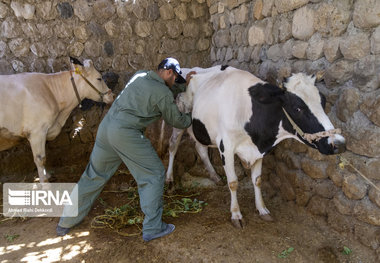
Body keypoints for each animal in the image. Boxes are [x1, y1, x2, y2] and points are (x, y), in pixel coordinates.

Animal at [165, 65, 346, 228]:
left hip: (200, 129)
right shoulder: (226, 146)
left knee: (201, 149)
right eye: (297, 108)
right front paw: (236, 214)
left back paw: (215, 176)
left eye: (323, 102)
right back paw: (169, 181)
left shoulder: (259, 150)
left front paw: (262, 209)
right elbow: (233, 182)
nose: (339, 144)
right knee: (172, 147)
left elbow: (257, 180)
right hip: (178, 122)